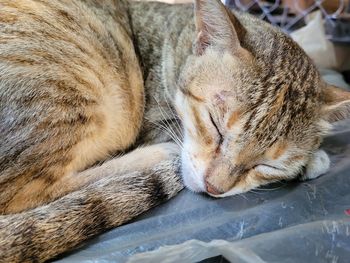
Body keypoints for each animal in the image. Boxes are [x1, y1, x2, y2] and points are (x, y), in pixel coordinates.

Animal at [0, 0, 350, 262]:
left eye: (267, 165)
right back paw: (154, 158)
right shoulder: (156, 122)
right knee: (27, 194)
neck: (175, 40)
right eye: (214, 124)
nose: (214, 187)